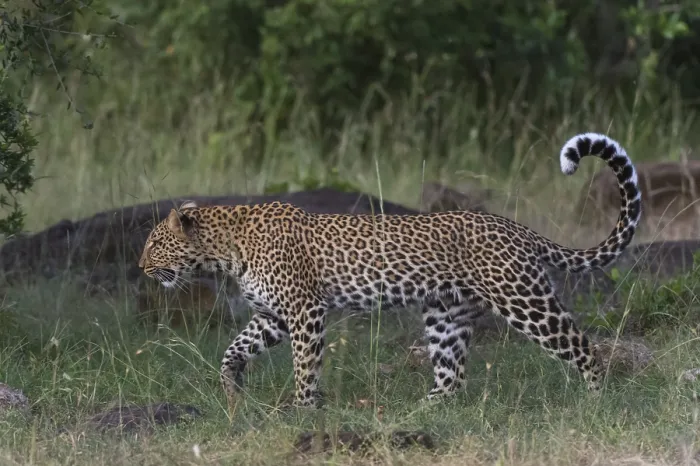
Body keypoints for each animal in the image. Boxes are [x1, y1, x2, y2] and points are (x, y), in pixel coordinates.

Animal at [138, 132, 641, 409]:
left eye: (156, 243)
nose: (141, 266)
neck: (226, 251)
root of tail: (516, 227)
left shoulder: (305, 311)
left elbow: (305, 365)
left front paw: (303, 409)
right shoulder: (273, 316)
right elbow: (233, 349)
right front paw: (232, 389)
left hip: (524, 298)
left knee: (583, 346)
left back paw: (596, 402)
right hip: (446, 315)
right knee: (451, 376)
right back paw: (420, 411)